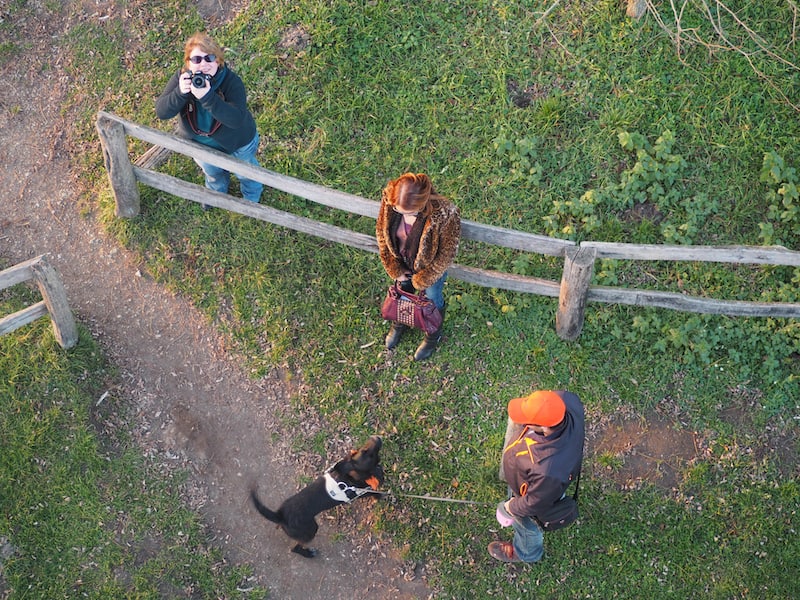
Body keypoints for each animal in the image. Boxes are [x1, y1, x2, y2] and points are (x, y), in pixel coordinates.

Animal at [252, 436, 386, 556]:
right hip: (311, 529)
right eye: (366, 452)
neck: (347, 475)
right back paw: (309, 554)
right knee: (295, 548)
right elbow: (375, 492)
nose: (376, 438)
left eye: (362, 449)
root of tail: (280, 515)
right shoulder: (364, 491)